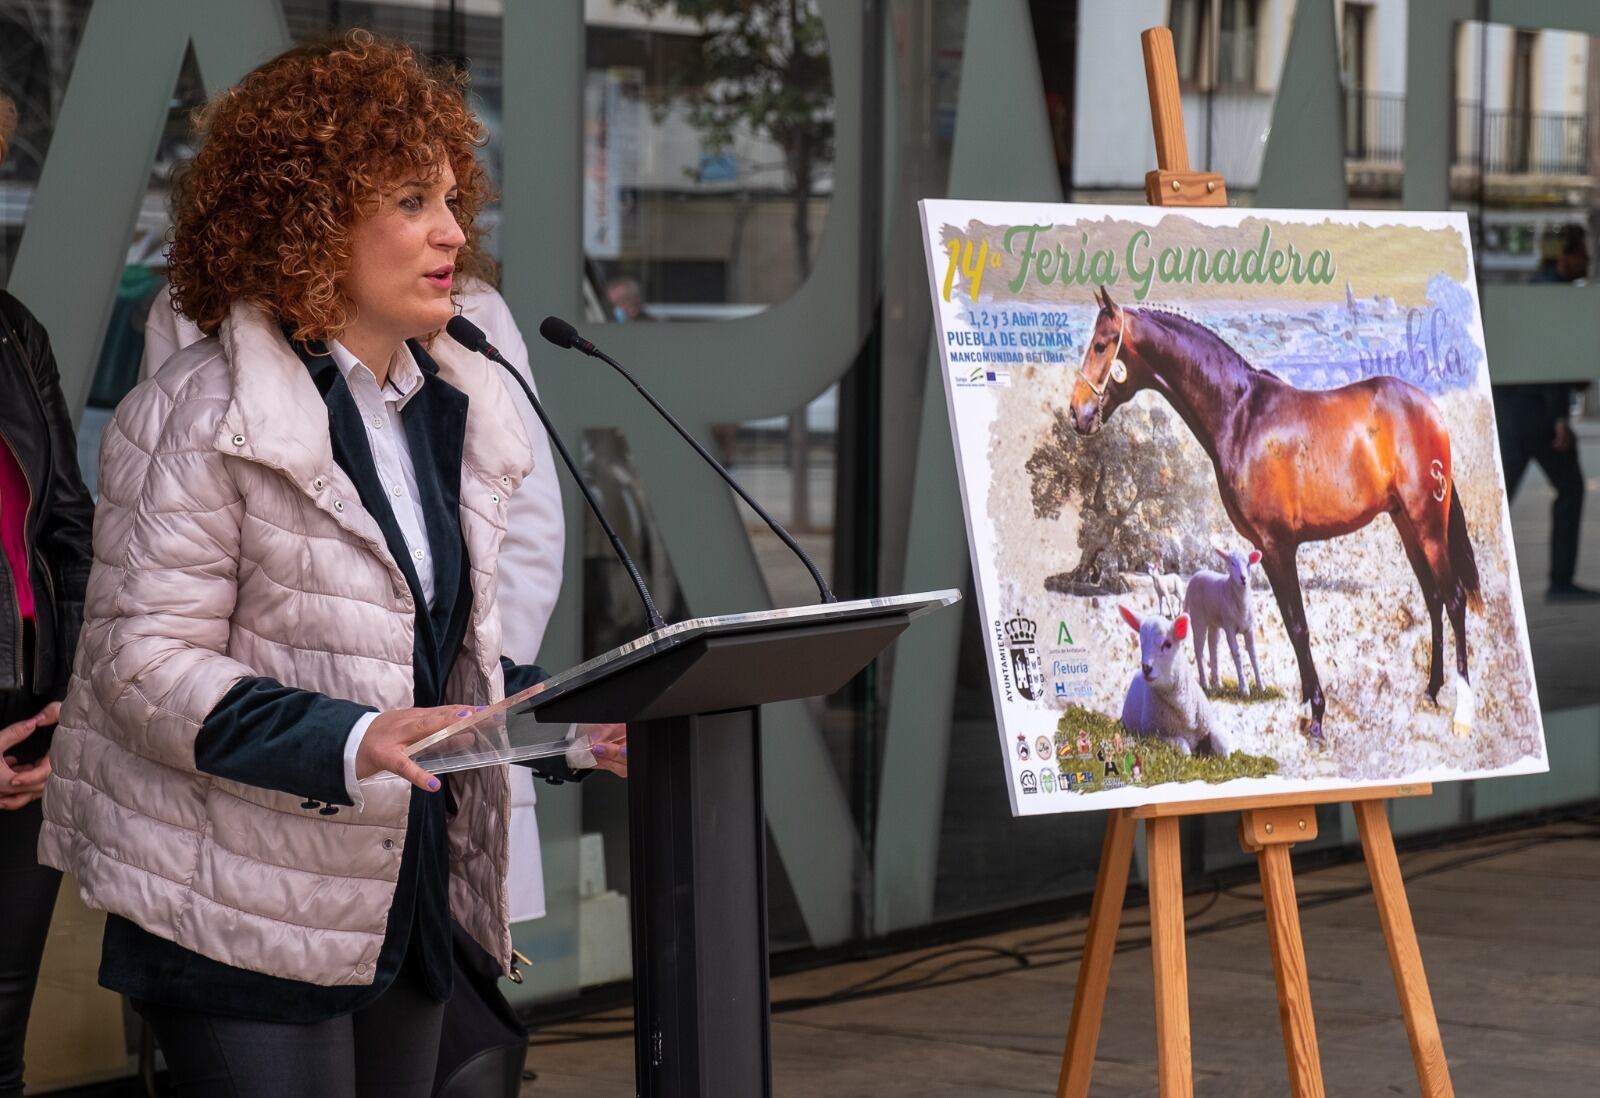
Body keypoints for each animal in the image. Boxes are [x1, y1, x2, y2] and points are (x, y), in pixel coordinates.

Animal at [1126, 605, 1235, 761]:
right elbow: (1184, 748)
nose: (1146, 668)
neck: (1185, 713)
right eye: (1142, 644)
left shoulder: (1211, 724)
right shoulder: (1154, 733)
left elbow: (1223, 747)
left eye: (1167, 644)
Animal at [1177, 550, 1260, 697]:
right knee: (1199, 648)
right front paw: (1244, 688)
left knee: (1213, 646)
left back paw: (1217, 683)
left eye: (1249, 563)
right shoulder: (1229, 626)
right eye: (1232, 563)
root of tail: (1194, 576)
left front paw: (1262, 686)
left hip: (1214, 622)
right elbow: (1237, 654)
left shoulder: (1249, 628)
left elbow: (1254, 654)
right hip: (1198, 617)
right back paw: (1205, 683)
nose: (1243, 578)